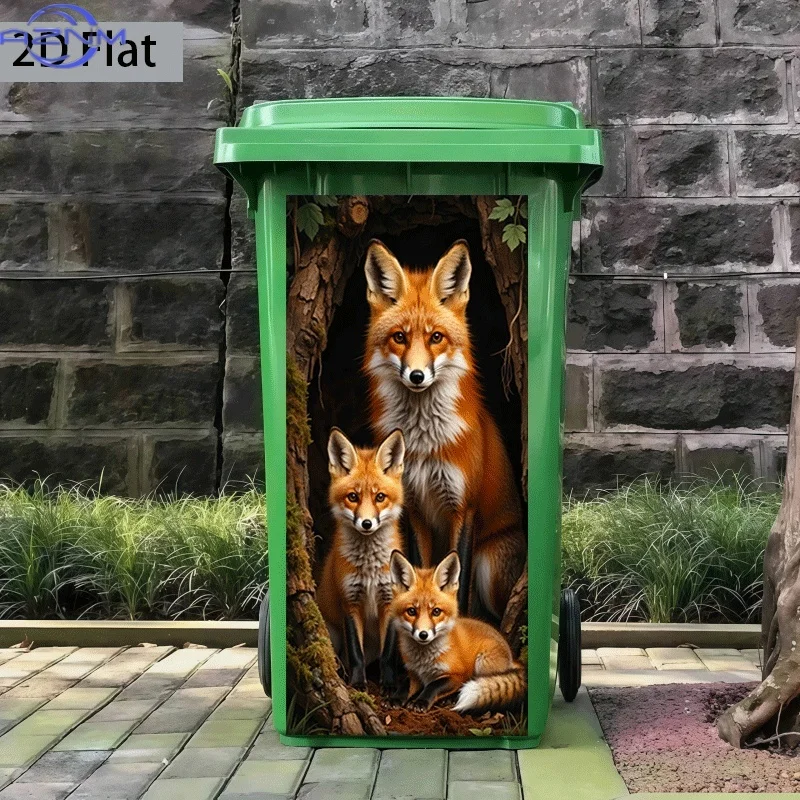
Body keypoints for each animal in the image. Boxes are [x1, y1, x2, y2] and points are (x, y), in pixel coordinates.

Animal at [317, 427, 406, 689]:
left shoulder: (389, 600)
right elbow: (356, 651)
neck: (369, 569)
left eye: (380, 497)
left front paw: (389, 684)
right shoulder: (349, 600)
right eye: (353, 497)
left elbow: (388, 653)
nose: (366, 523)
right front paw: (357, 683)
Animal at [364, 238, 526, 618]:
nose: (417, 376)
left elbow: (459, 586)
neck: (423, 444)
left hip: (489, 565)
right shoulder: (415, 510)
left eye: (436, 337)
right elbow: (418, 570)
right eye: (399, 337)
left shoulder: (462, 507)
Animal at [388, 550, 526, 713]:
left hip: (482, 662)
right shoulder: (413, 672)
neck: (424, 663)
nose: (423, 635)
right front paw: (395, 698)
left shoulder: (458, 675)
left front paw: (421, 701)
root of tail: (512, 657)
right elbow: (404, 685)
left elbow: (433, 685)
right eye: (411, 611)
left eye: (436, 611)